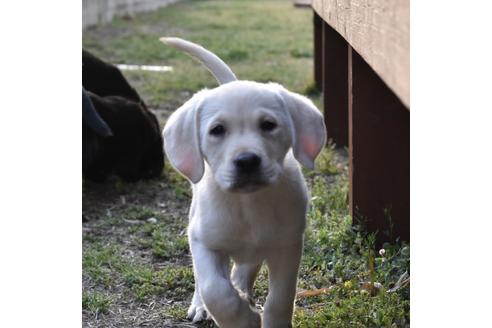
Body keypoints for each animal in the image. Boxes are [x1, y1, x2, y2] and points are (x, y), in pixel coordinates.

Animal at [160, 37, 326, 326]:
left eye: (268, 125)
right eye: (217, 130)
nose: (247, 160)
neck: (248, 203)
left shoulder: (288, 246)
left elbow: (281, 298)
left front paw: (270, 320)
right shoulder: (204, 242)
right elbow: (216, 291)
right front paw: (243, 319)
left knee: (245, 267)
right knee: (205, 281)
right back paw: (202, 304)